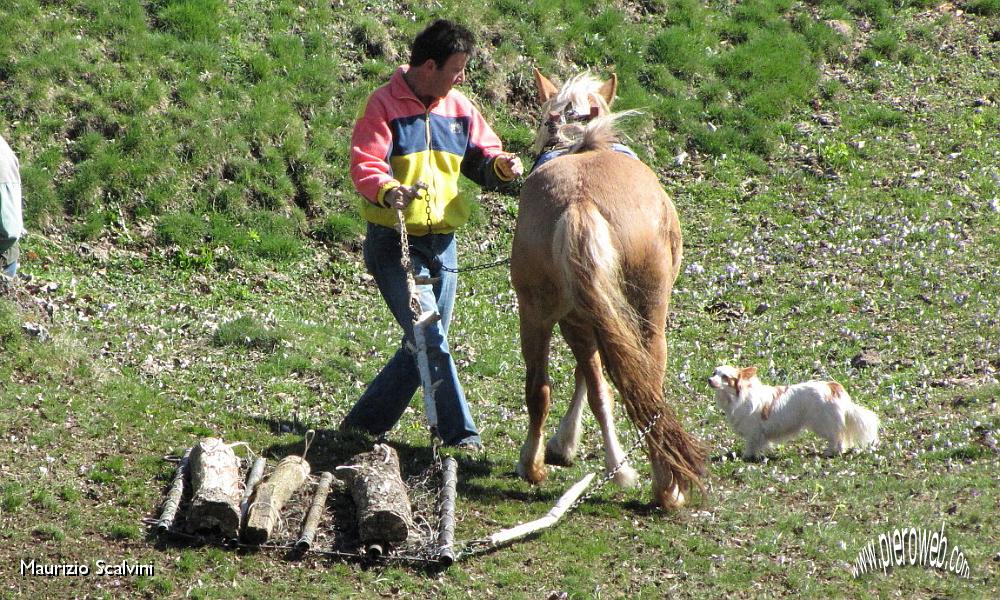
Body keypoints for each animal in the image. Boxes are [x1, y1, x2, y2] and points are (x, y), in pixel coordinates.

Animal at [512, 70, 708, 510]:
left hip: (535, 312)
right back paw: (663, 485)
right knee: (646, 386)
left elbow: (591, 376)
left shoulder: (581, 316)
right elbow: (600, 379)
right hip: (647, 312)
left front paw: (566, 443)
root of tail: (579, 202)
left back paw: (535, 466)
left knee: (540, 388)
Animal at [708, 366, 880, 460]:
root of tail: (832, 386)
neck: (735, 397)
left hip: (823, 424)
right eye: (714, 372)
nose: (709, 380)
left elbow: (750, 446)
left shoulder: (753, 432)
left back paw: (829, 452)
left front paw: (747, 457)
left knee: (837, 439)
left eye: (725, 377)